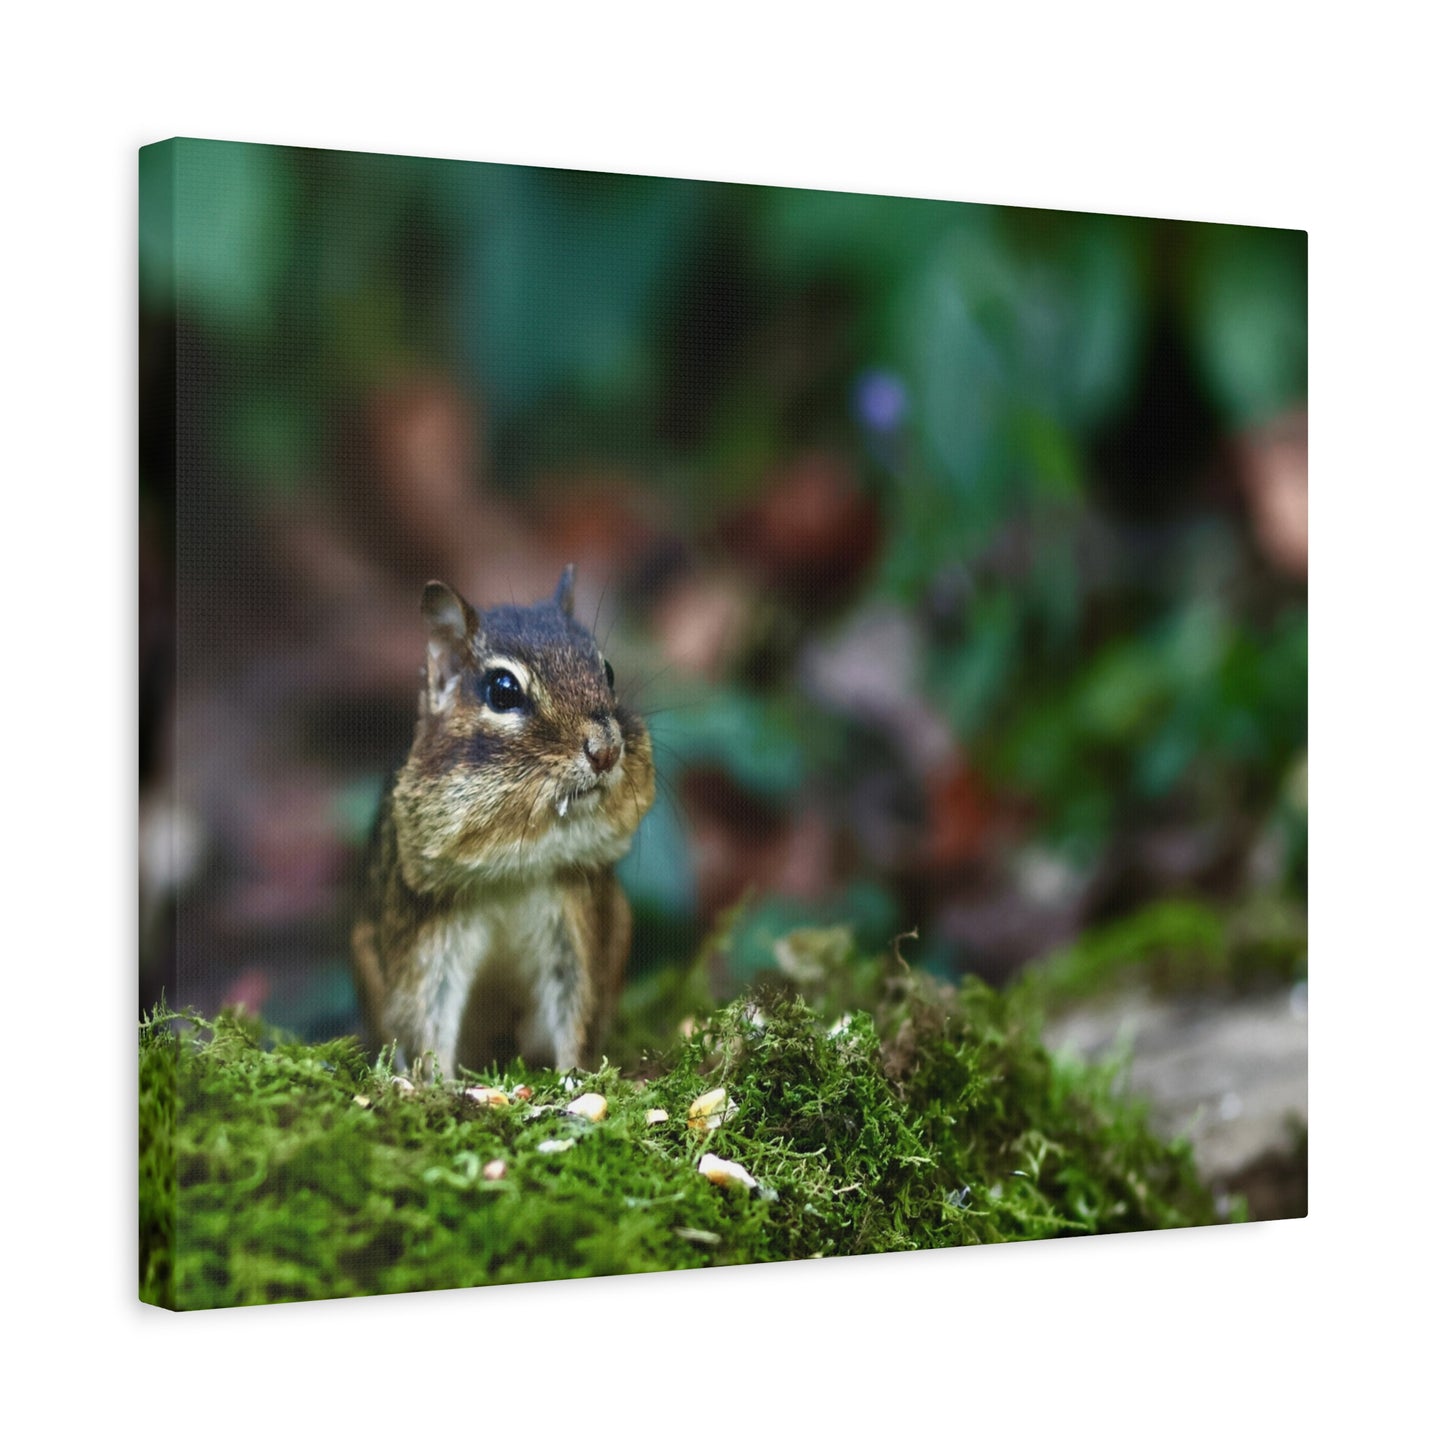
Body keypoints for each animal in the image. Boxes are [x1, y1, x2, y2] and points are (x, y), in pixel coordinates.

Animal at [351, 566, 654, 1078]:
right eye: (503, 690)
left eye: (608, 671)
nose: (606, 750)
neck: (517, 866)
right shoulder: (427, 932)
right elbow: (425, 1014)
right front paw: (433, 1084)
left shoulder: (577, 916)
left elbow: (579, 1004)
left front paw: (576, 1078)